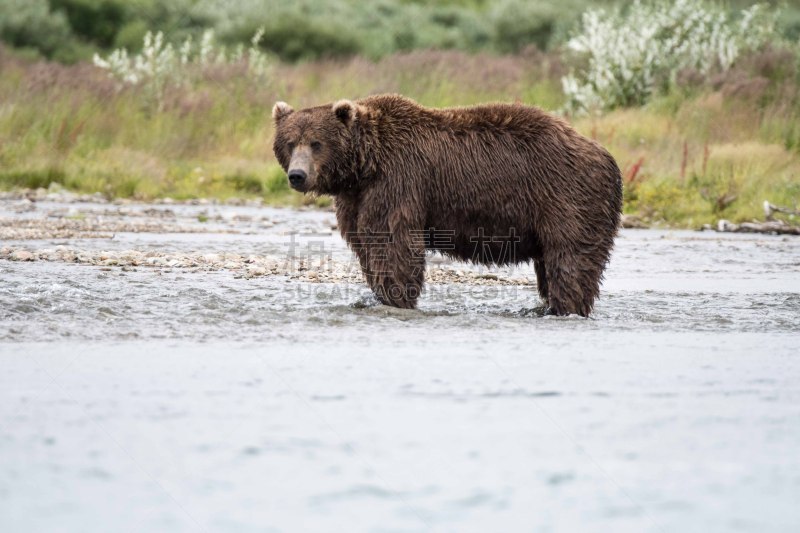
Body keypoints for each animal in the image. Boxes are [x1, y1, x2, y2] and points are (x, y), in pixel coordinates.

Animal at [272, 94, 620, 316]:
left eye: (316, 143)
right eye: (290, 142)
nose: (298, 175)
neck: (365, 166)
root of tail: (606, 156)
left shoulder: (399, 182)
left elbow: (394, 243)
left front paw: (397, 298)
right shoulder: (356, 198)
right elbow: (366, 245)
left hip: (567, 197)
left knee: (570, 260)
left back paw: (565, 307)